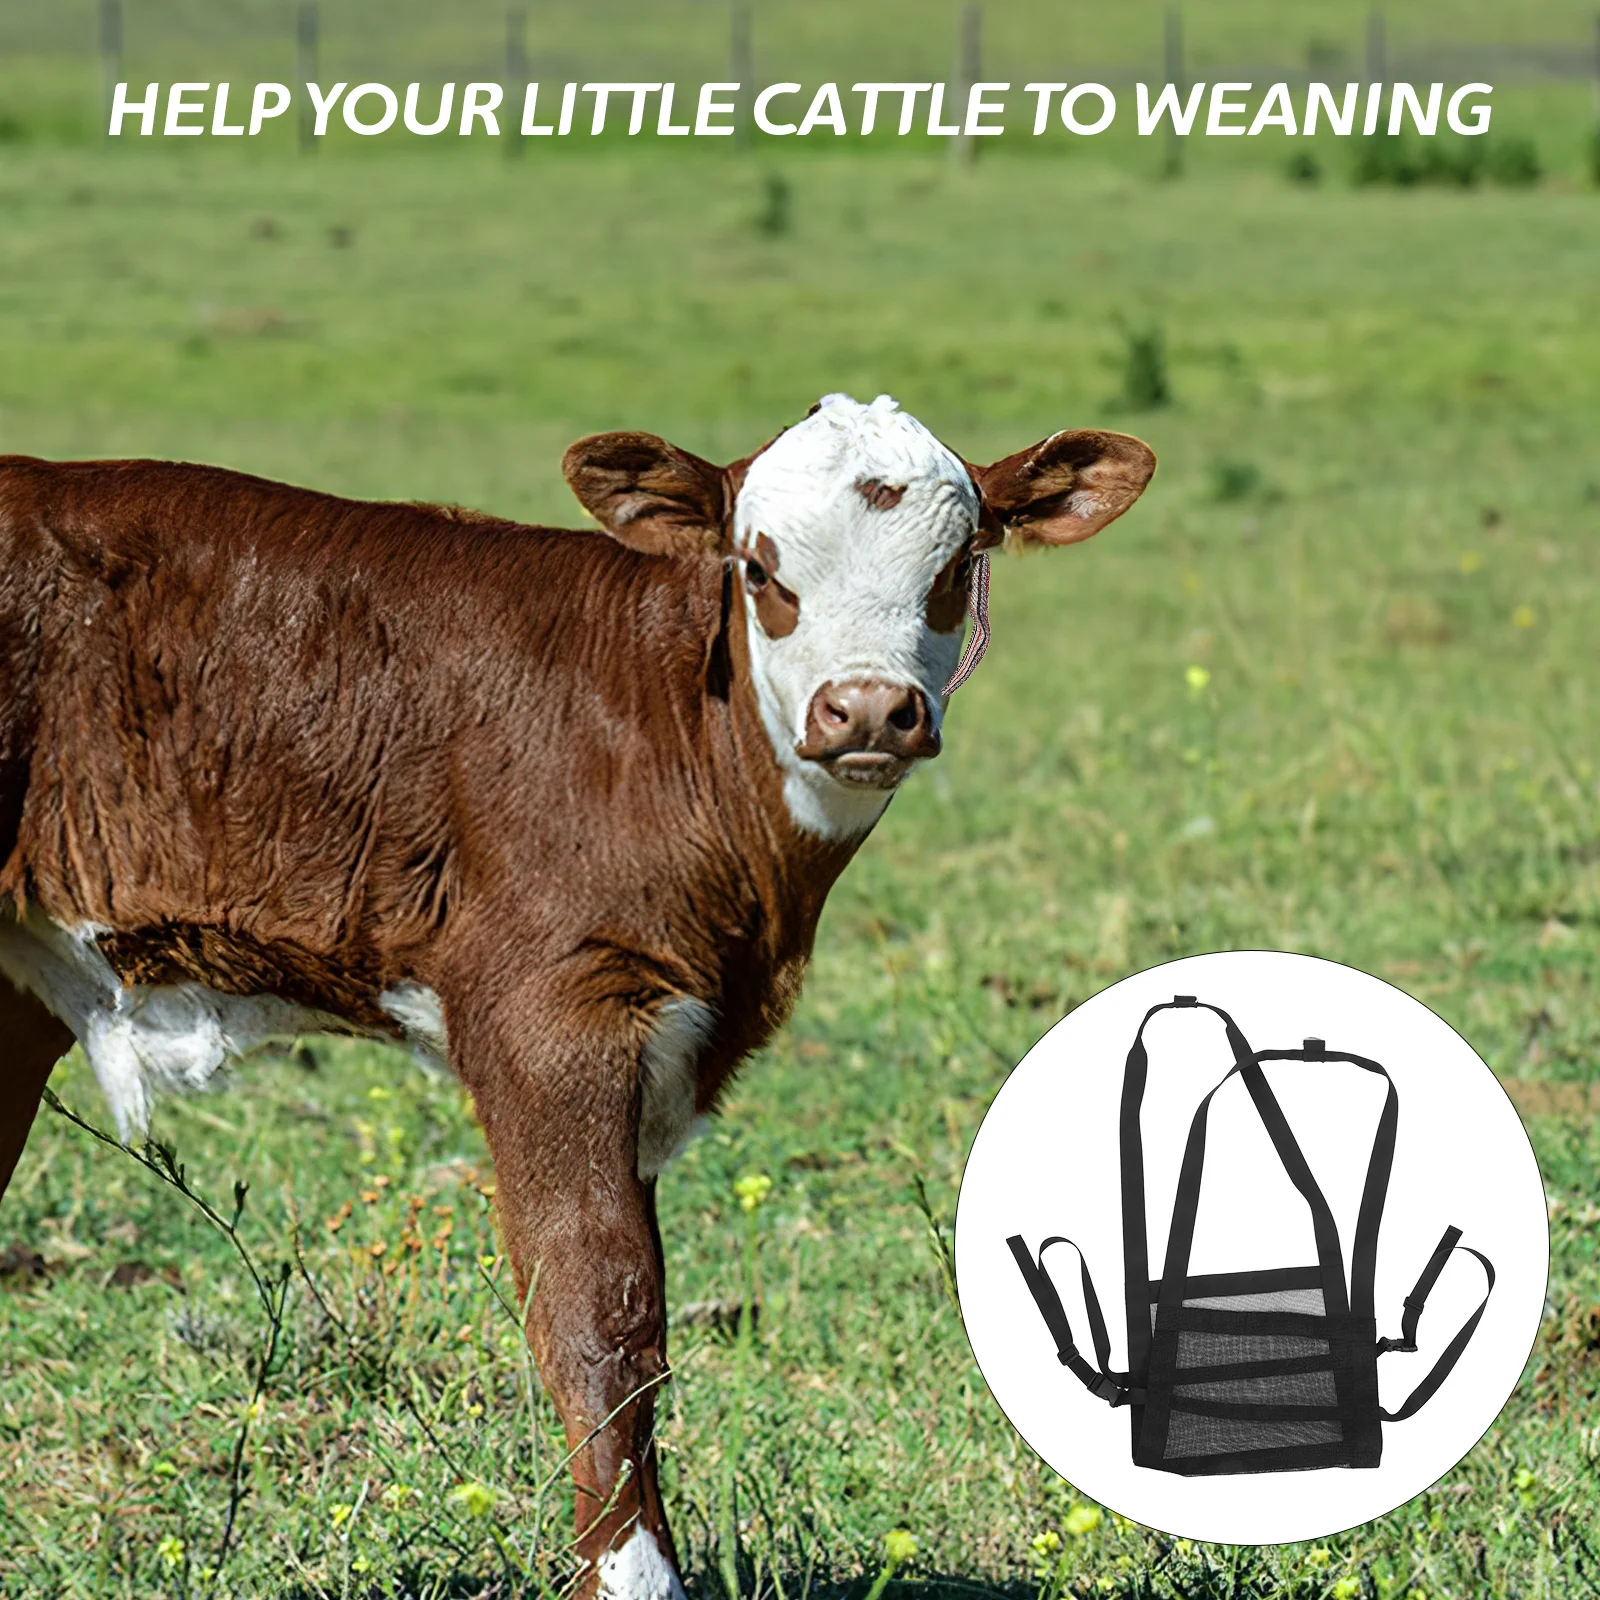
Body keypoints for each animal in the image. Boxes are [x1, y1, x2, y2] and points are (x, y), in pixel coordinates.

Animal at [0, 393, 1153, 1598]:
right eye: (757, 568)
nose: (870, 710)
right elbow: (599, 1306)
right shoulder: (554, 1006)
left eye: (958, 561)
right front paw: (636, 1573)